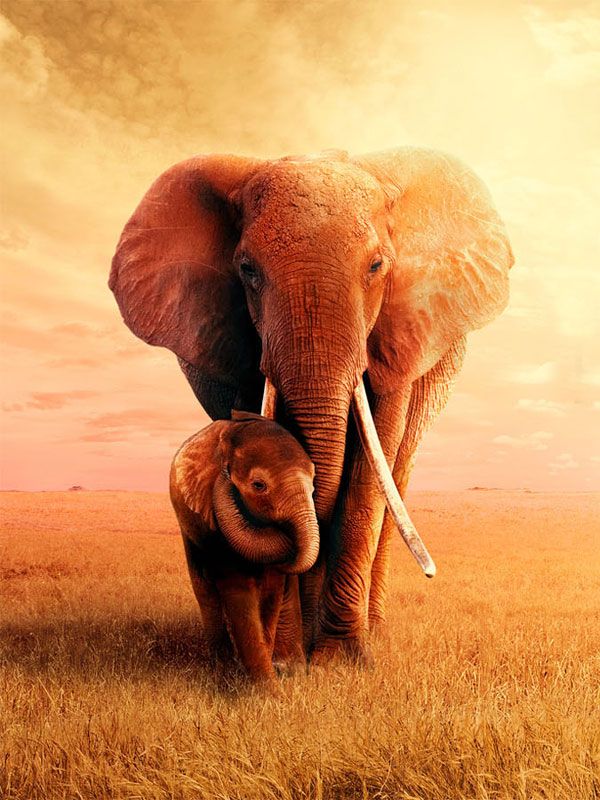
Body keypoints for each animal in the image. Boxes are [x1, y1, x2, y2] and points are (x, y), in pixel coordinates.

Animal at [170, 411, 318, 684]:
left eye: (313, 486)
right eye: (259, 485)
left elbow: (271, 590)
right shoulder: (212, 523)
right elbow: (237, 587)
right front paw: (260, 687)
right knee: (206, 592)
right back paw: (223, 669)